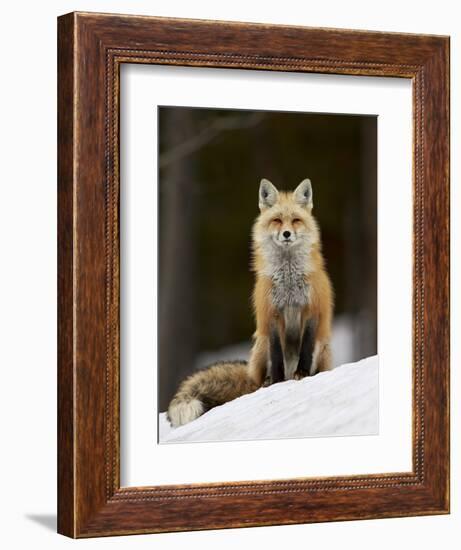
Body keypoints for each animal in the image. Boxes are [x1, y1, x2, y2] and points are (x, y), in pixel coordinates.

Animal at [167, 179, 332, 430]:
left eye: (295, 220)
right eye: (276, 220)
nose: (286, 233)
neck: (288, 279)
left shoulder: (311, 310)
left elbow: (305, 347)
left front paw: (302, 374)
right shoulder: (271, 314)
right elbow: (276, 355)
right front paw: (277, 382)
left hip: (322, 348)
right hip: (260, 344)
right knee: (261, 374)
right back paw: (266, 382)